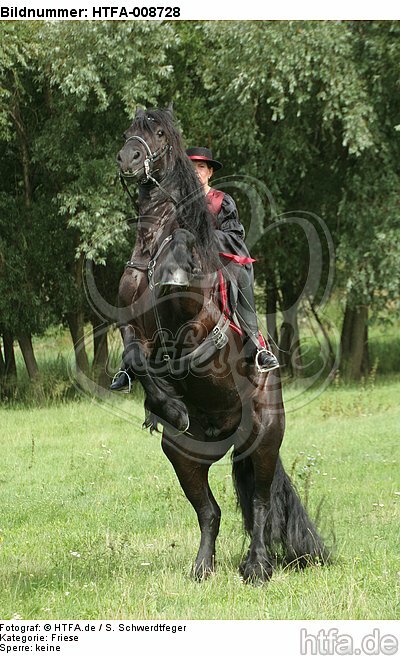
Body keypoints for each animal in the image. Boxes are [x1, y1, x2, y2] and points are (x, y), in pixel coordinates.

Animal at [115, 106, 327, 582]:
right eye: (129, 131)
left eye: (158, 133)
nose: (128, 159)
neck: (154, 247)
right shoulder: (131, 329)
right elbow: (136, 358)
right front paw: (165, 406)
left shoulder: (196, 324)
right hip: (184, 456)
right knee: (209, 511)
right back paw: (202, 569)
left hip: (263, 441)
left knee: (262, 505)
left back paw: (258, 567)